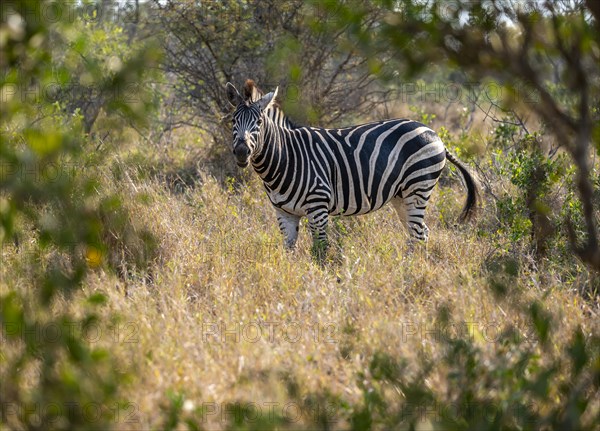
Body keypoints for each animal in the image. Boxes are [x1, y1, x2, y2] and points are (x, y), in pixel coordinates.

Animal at [225, 80, 478, 256]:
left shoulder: (318, 207)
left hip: (418, 187)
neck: (286, 157)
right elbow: (289, 252)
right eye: (233, 121)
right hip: (401, 196)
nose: (241, 152)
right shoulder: (284, 213)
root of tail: (434, 133)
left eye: (259, 122)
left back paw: (413, 273)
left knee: (417, 234)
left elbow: (320, 252)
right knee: (421, 232)